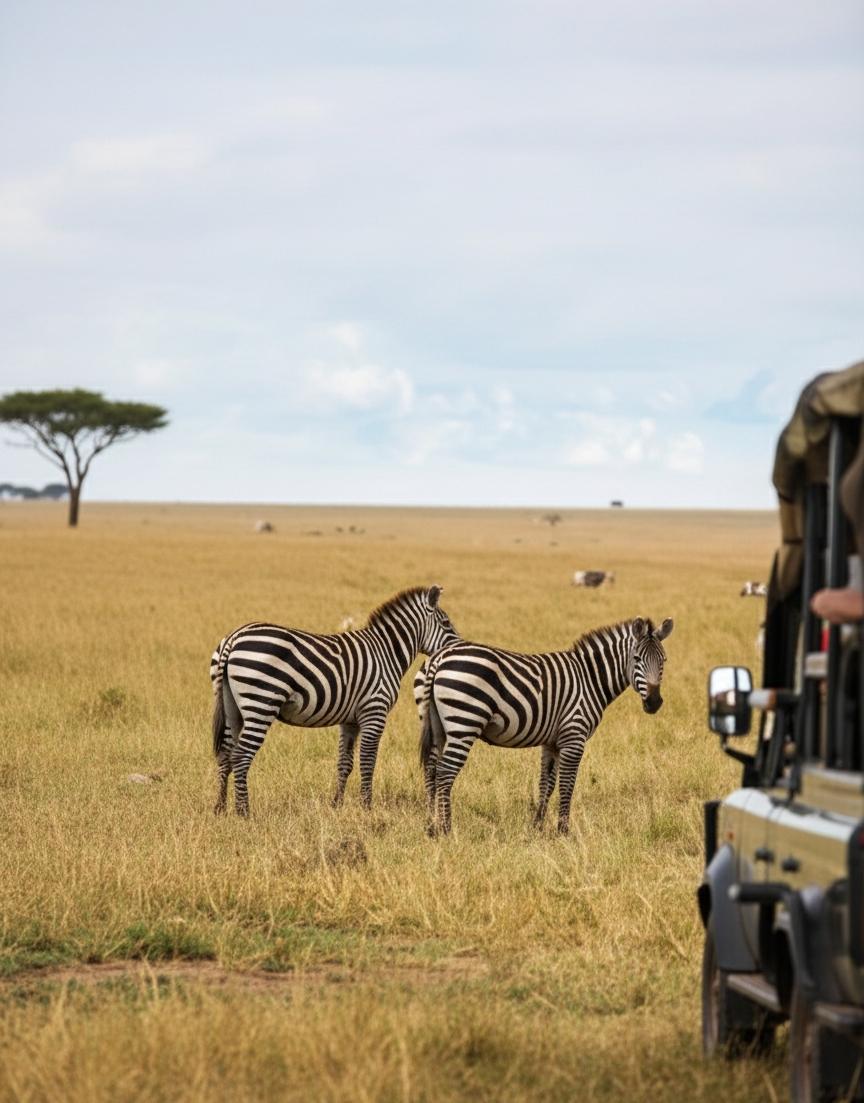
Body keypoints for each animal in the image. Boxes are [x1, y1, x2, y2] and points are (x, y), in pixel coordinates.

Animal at [211, 586, 458, 816]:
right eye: (446, 623)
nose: (458, 649)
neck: (387, 652)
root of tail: (233, 638)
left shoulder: (350, 720)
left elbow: (345, 764)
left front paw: (336, 805)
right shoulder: (374, 711)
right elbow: (367, 762)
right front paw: (367, 807)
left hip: (233, 708)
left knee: (225, 754)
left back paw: (220, 809)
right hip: (261, 702)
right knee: (240, 756)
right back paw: (244, 812)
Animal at [420, 616, 673, 836]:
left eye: (663, 661)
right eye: (636, 659)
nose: (654, 702)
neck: (590, 679)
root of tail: (439, 658)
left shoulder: (551, 742)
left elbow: (546, 784)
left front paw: (537, 827)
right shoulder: (574, 737)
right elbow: (567, 785)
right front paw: (563, 831)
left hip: (437, 726)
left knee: (432, 770)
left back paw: (431, 826)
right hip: (465, 723)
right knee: (445, 773)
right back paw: (446, 828)